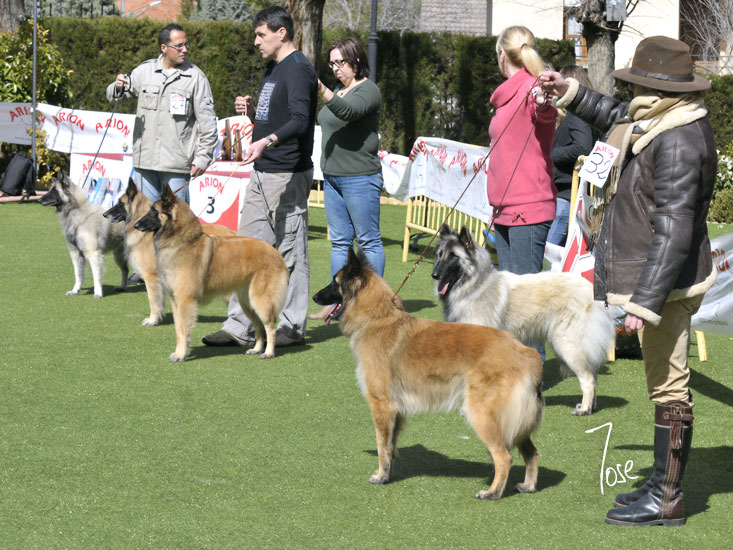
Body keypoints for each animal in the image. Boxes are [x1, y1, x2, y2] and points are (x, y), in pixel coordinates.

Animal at [134, 183, 288, 361]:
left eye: (154, 211)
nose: (135, 225)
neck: (182, 242)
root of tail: (276, 253)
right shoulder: (175, 301)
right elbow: (178, 329)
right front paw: (179, 352)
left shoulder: (186, 300)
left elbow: (184, 329)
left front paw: (181, 354)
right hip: (247, 303)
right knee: (259, 326)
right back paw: (256, 349)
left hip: (260, 301)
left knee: (270, 327)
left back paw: (268, 352)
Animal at [313, 247, 543, 500]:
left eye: (334, 282)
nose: (314, 297)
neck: (378, 318)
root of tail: (527, 352)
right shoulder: (396, 410)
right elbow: (391, 447)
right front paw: (388, 475)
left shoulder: (381, 405)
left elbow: (382, 446)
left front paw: (380, 476)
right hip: (515, 422)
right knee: (532, 453)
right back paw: (528, 486)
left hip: (482, 415)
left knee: (504, 457)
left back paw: (492, 492)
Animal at [431, 224, 615, 416]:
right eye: (440, 254)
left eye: (453, 256)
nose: (434, 274)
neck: (474, 286)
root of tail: (593, 291)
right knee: (593, 376)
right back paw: (591, 407)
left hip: (567, 345)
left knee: (588, 379)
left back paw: (584, 409)